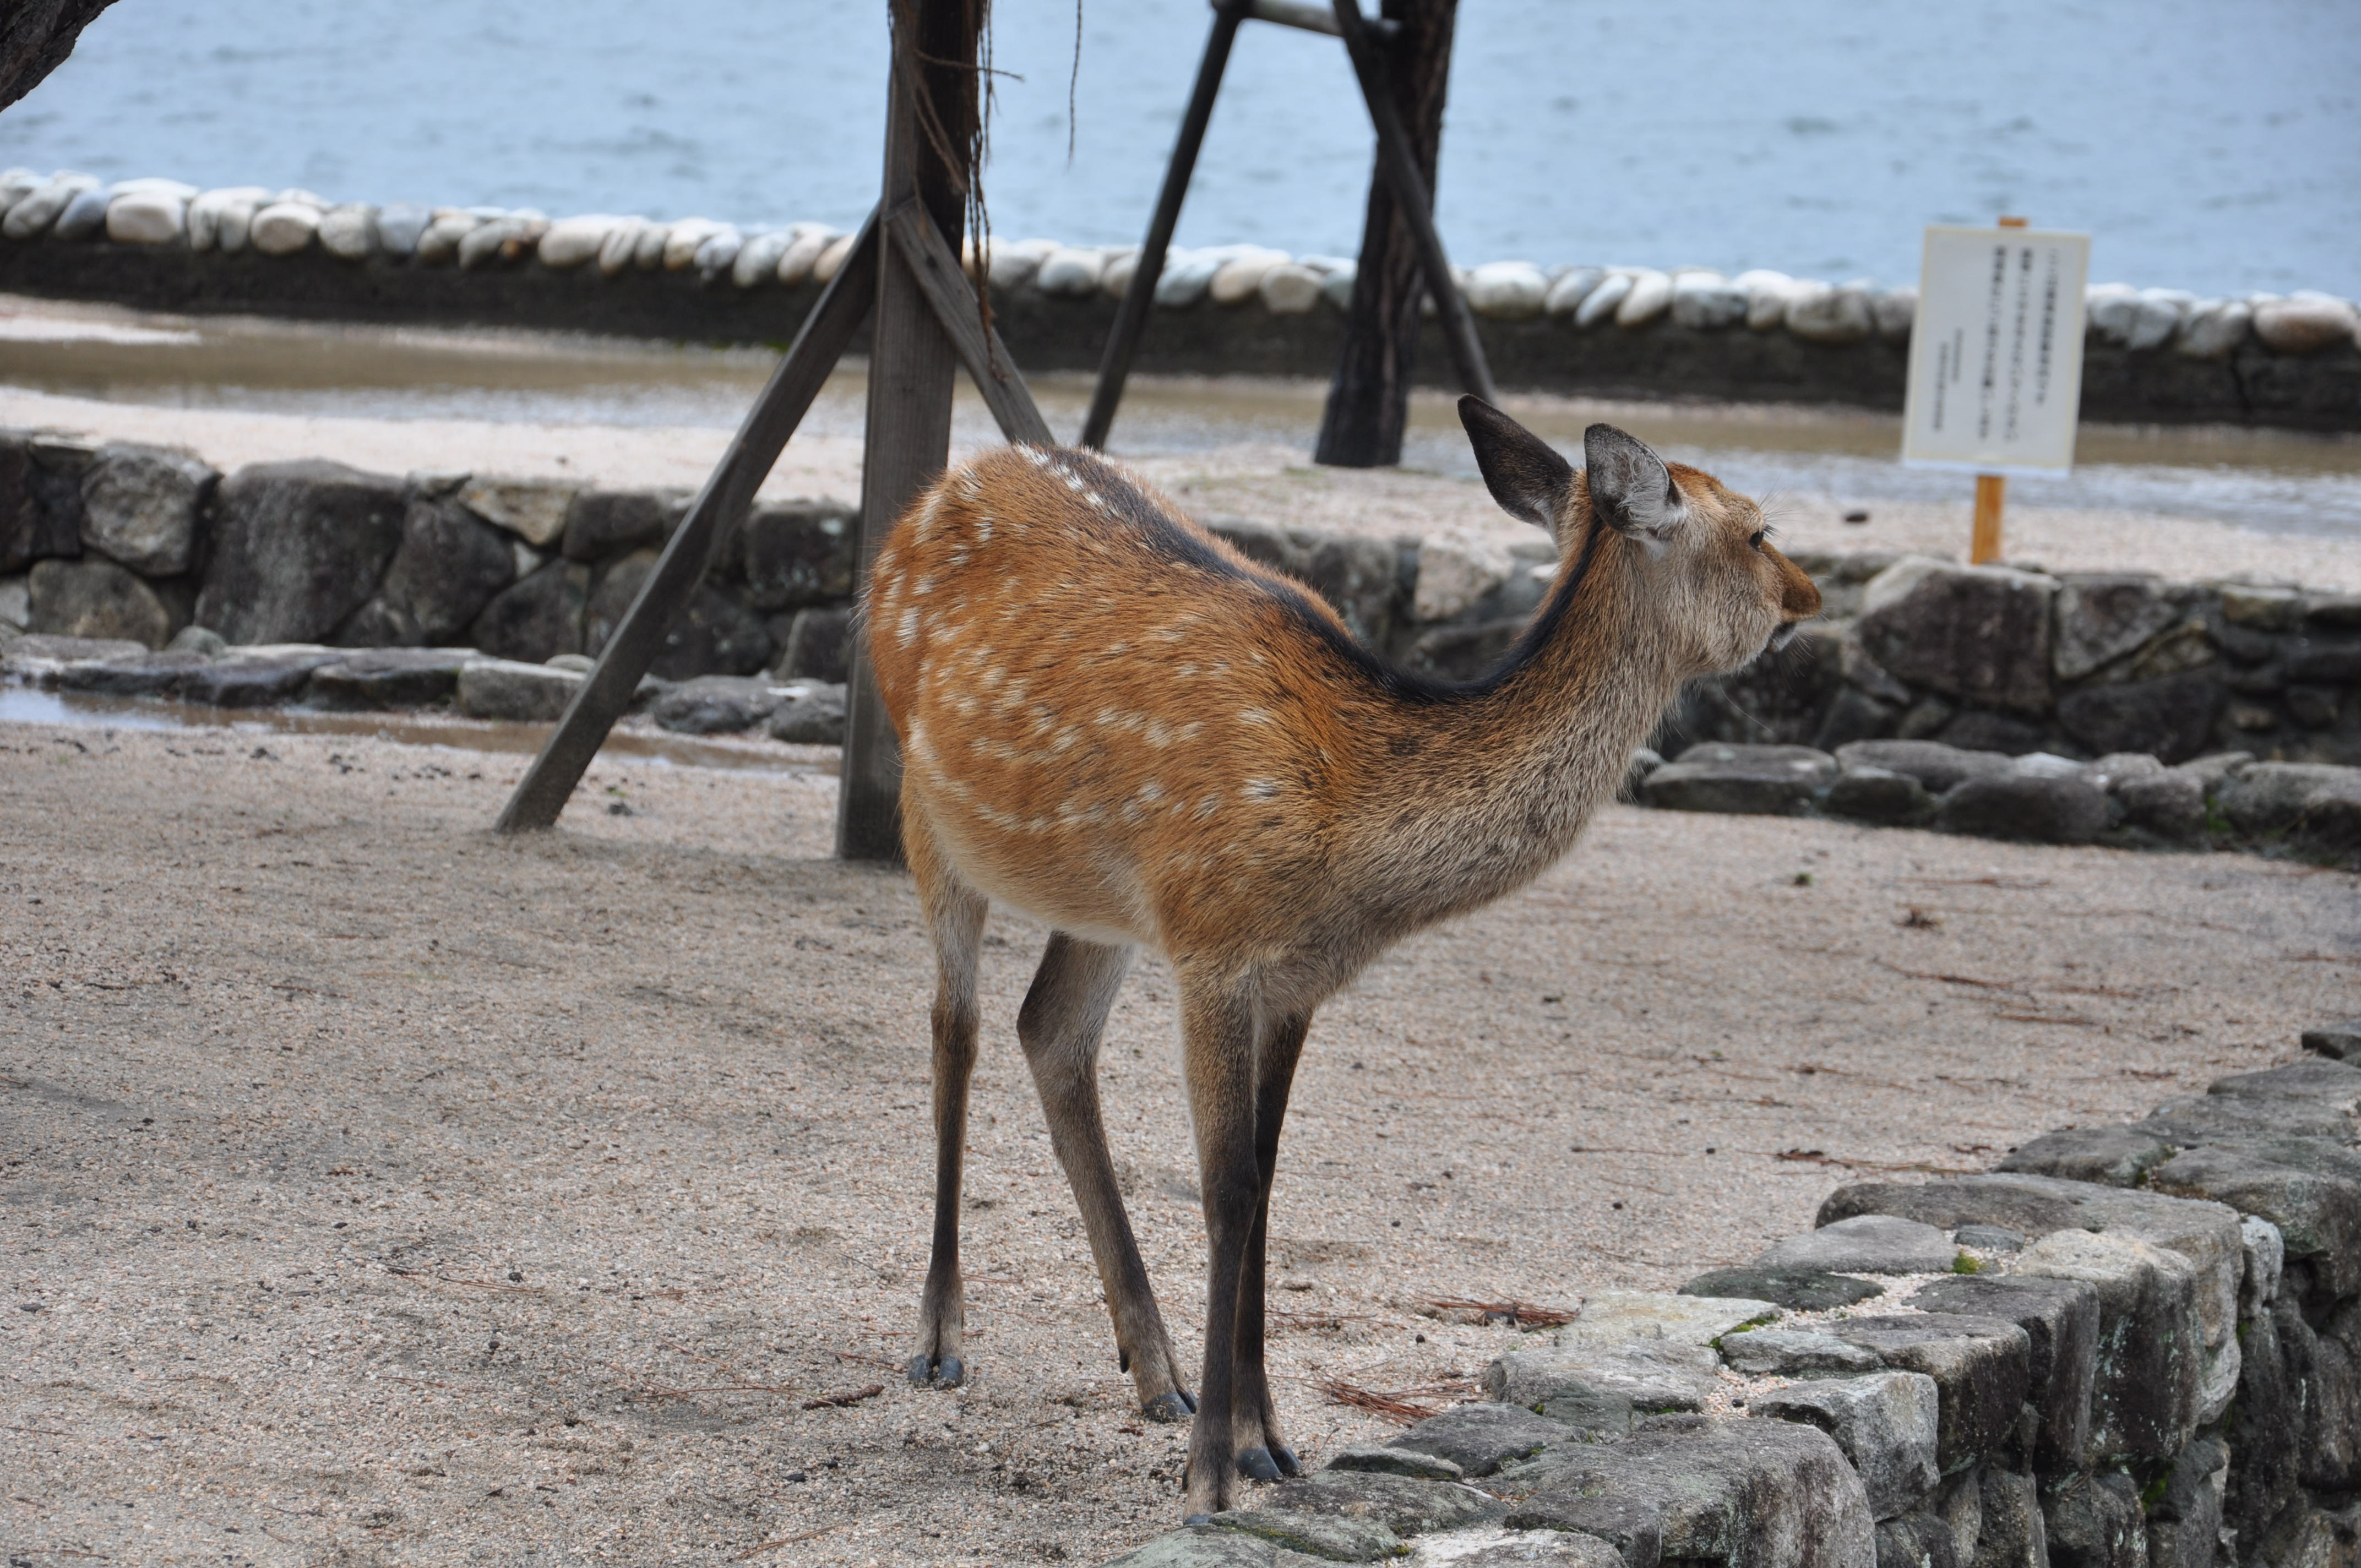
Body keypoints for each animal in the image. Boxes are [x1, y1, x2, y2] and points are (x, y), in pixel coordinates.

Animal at [863, 397, 1820, 1520]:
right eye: (1756, 530)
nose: (1808, 597)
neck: (1346, 827)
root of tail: (931, 496)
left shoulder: (1295, 979)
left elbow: (1270, 1181)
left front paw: (1266, 1441)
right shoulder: (1213, 941)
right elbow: (1226, 1186)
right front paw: (1210, 1479)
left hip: (1100, 899)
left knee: (1048, 1030)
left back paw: (1156, 1372)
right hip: (925, 802)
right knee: (955, 1028)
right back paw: (941, 1338)